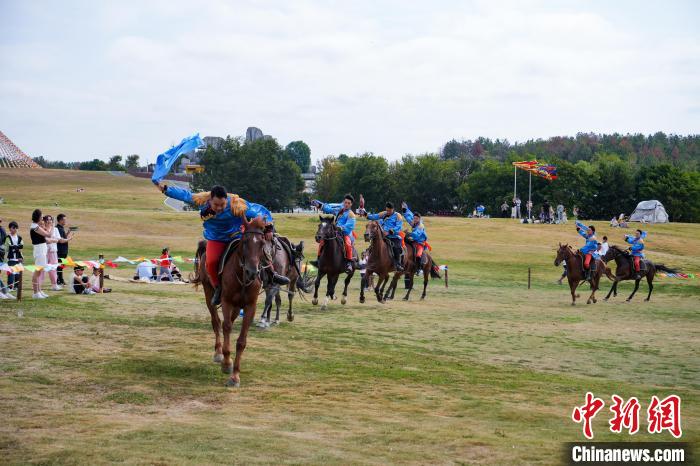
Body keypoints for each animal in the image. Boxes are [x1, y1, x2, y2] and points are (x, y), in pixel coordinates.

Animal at [191, 217, 270, 388]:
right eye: (245, 241)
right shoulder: (226, 302)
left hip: (236, 306)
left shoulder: (250, 307)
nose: (252, 272)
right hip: (209, 294)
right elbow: (226, 327)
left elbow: (241, 341)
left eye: (262, 243)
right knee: (216, 322)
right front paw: (227, 364)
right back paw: (218, 353)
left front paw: (235, 376)